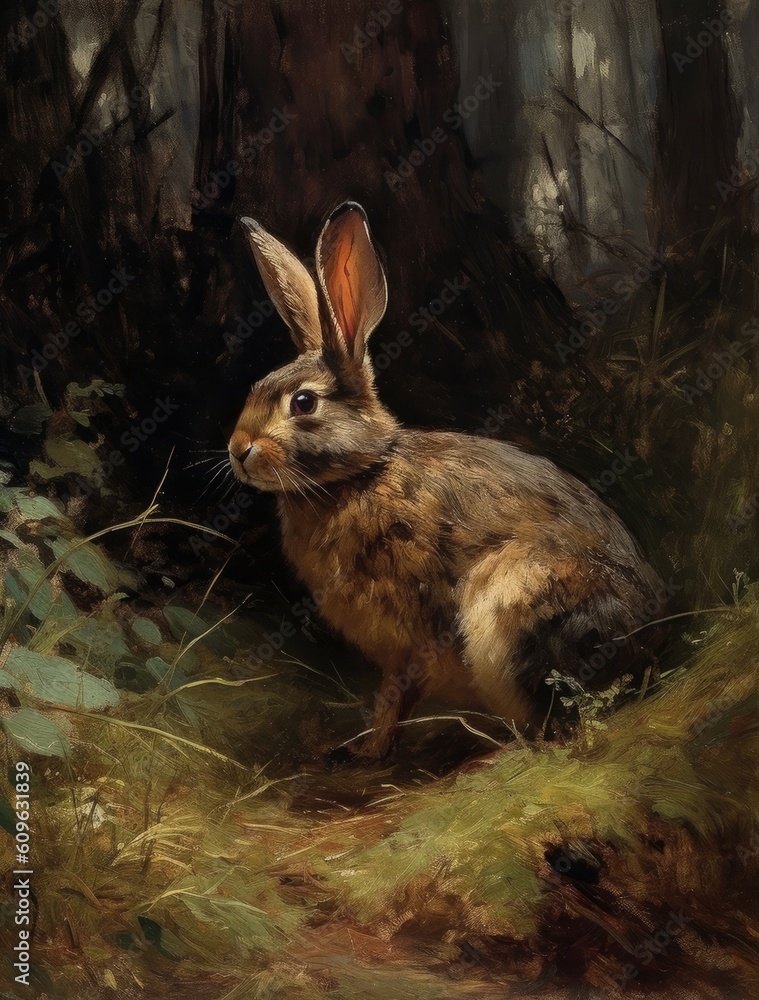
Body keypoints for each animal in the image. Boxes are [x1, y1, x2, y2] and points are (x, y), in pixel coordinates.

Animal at [227, 201, 666, 760]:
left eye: (303, 403)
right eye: (254, 388)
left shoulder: (411, 638)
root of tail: (651, 644)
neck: (360, 475)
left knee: (557, 724)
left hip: (514, 607)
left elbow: (393, 696)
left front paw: (366, 753)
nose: (238, 451)